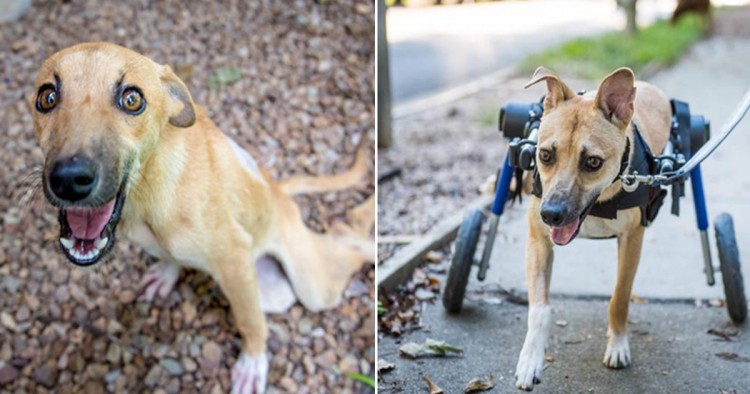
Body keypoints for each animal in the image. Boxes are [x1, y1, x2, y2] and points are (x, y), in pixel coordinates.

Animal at [30, 41, 376, 392]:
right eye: (47, 98)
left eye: (132, 99)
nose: (69, 179)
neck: (148, 194)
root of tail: (278, 191)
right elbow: (172, 257)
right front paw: (167, 273)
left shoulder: (235, 262)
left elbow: (250, 322)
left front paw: (252, 362)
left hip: (313, 288)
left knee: (348, 239)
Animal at [516, 67, 672, 390]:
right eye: (545, 155)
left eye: (593, 162)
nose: (551, 215)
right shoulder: (537, 241)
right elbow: (539, 309)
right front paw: (530, 359)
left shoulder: (632, 239)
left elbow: (619, 298)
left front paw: (618, 345)